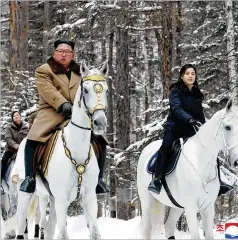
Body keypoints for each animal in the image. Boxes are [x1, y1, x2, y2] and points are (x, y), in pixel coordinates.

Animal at [16, 61, 109, 239]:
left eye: (106, 90)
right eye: (86, 90)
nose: (100, 122)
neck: (77, 151)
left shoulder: (89, 198)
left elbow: (95, 233)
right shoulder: (61, 199)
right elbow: (63, 235)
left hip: (51, 199)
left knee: (49, 229)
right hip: (27, 194)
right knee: (21, 226)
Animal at [137, 99, 238, 238]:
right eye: (228, 127)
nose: (237, 161)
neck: (201, 161)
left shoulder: (208, 208)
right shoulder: (191, 208)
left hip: (177, 207)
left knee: (169, 228)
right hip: (147, 200)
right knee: (147, 229)